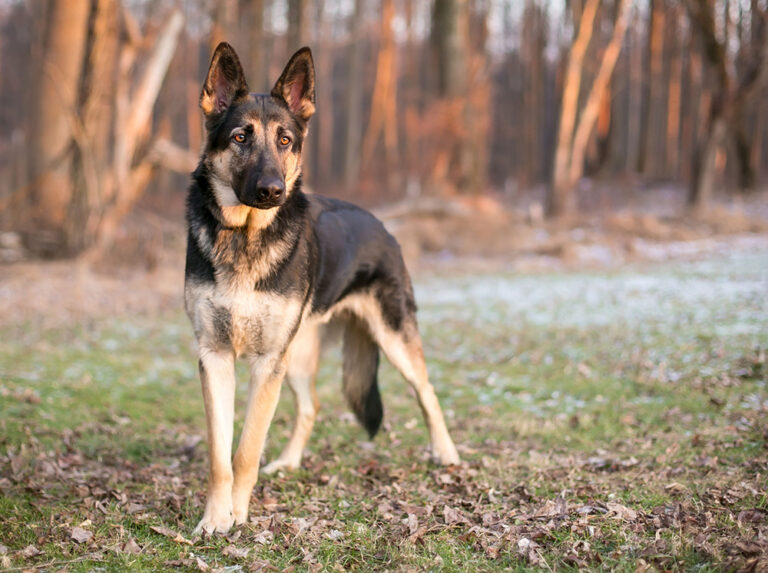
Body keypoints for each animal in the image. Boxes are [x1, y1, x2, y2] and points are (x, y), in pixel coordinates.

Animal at [184, 42, 462, 536]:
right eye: (240, 137)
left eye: (285, 141)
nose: (272, 190)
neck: (246, 236)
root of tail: (383, 227)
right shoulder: (215, 357)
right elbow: (220, 455)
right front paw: (216, 517)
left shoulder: (266, 363)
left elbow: (246, 449)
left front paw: (238, 514)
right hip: (295, 359)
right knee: (311, 406)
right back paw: (289, 462)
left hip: (390, 339)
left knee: (426, 391)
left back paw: (445, 452)